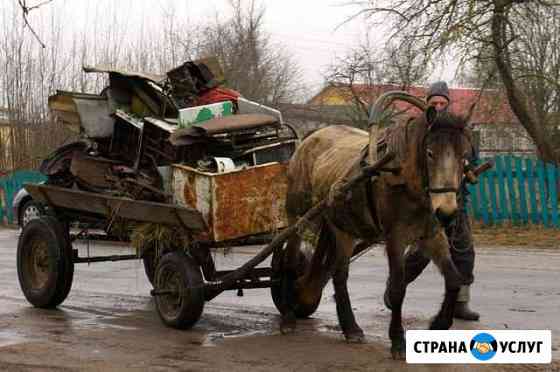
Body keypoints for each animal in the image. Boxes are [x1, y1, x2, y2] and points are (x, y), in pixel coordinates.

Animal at [280, 96, 472, 360]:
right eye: (430, 153)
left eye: (464, 155)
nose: (447, 212)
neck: (402, 175)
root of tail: (311, 137)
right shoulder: (395, 238)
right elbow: (397, 288)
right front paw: (398, 341)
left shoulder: (432, 235)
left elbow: (454, 279)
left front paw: (439, 325)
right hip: (298, 215)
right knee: (291, 260)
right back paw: (289, 317)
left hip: (342, 227)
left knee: (338, 273)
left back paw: (350, 327)